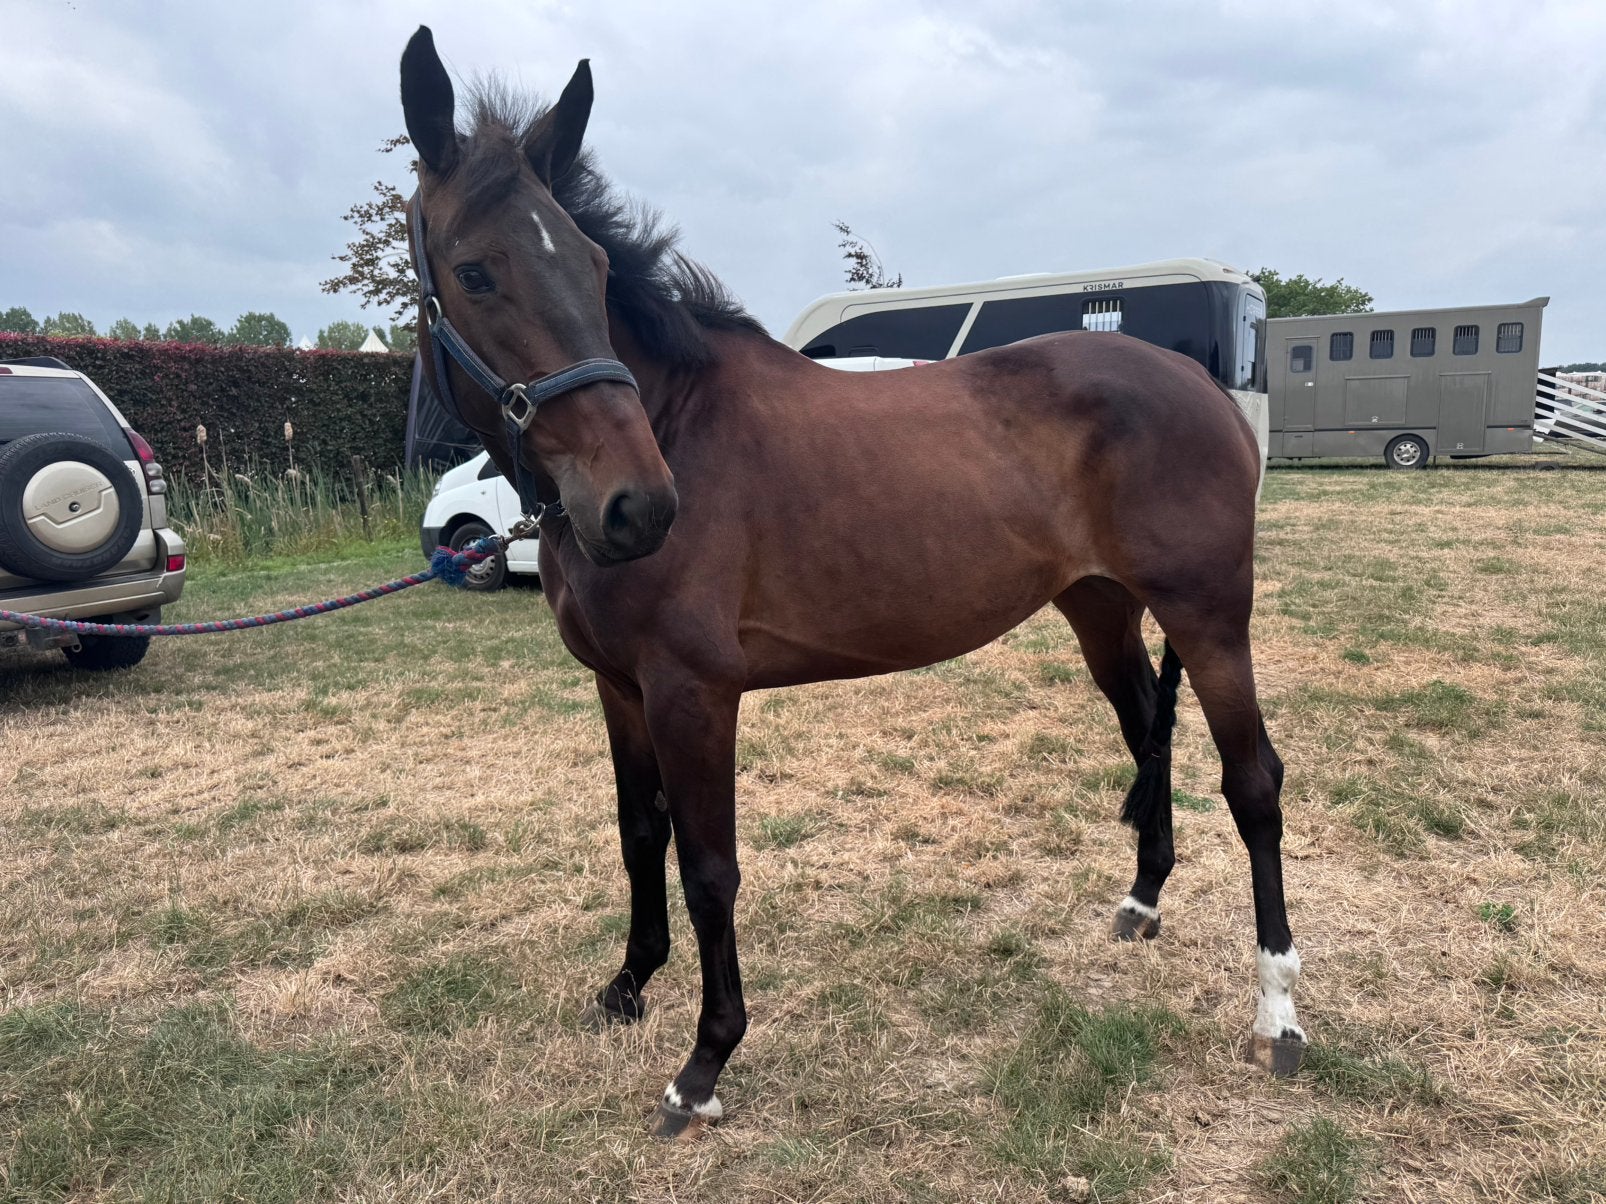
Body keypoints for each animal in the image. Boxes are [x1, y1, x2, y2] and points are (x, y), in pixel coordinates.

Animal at [399, 26, 1306, 1140]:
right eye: (475, 271)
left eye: (592, 264)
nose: (637, 507)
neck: (679, 422)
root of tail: (1201, 386)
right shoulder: (619, 689)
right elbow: (638, 836)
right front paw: (626, 987)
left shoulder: (694, 692)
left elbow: (708, 867)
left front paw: (703, 1064)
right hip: (1101, 606)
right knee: (1149, 731)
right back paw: (1141, 903)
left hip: (1211, 618)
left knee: (1254, 783)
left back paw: (1278, 1013)